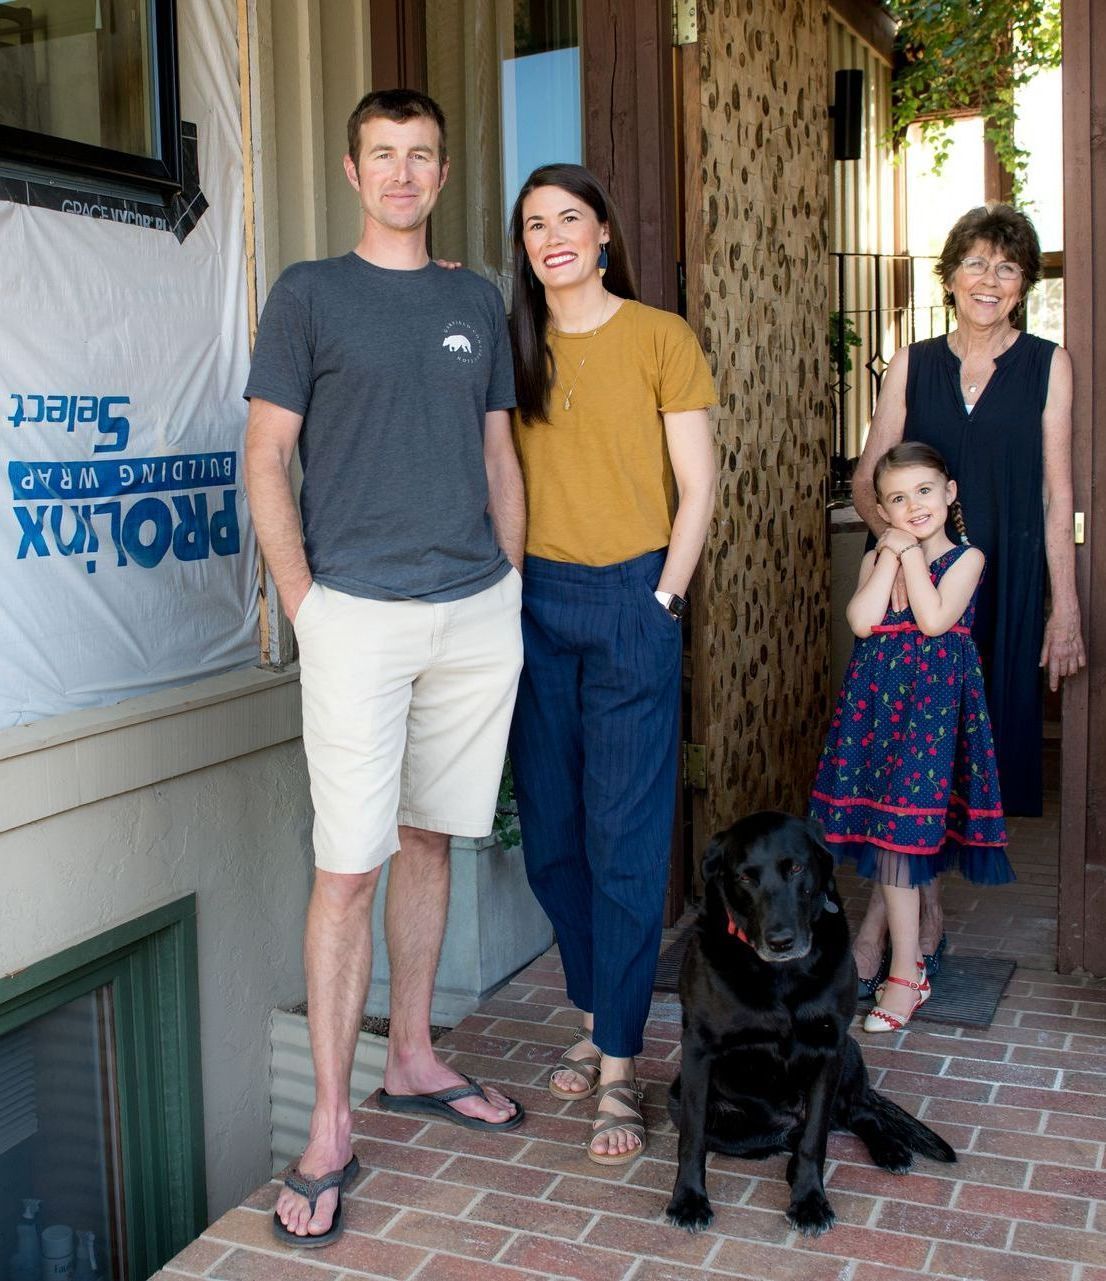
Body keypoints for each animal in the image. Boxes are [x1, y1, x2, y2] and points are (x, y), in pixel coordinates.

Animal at [661, 814, 953, 1234]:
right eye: (745, 877)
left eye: (796, 868)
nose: (781, 940)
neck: (780, 975)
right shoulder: (698, 1049)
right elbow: (692, 1137)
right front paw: (688, 1200)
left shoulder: (830, 1047)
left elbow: (816, 1141)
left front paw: (810, 1201)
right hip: (681, 1096)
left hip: (851, 1053)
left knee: (857, 1114)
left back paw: (889, 1149)